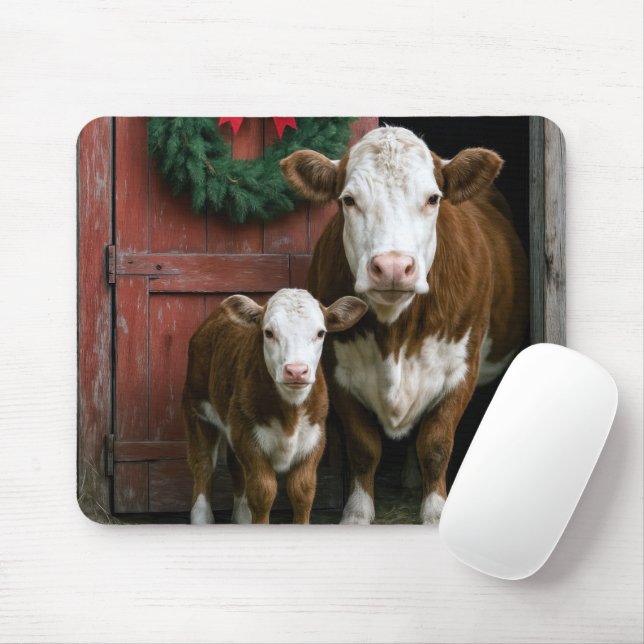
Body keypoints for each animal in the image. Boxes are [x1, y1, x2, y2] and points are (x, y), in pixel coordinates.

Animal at [183, 288, 367, 525]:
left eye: (320, 333)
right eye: (269, 333)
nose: (296, 371)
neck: (290, 412)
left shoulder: (315, 438)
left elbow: (302, 491)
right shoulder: (249, 438)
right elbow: (263, 491)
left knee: (236, 467)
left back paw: (241, 516)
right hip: (197, 407)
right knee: (203, 463)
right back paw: (202, 518)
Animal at [280, 126, 529, 525]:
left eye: (433, 198)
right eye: (348, 199)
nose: (393, 267)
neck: (394, 334)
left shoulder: (462, 368)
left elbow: (436, 443)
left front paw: (434, 512)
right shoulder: (337, 369)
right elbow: (364, 447)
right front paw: (357, 513)